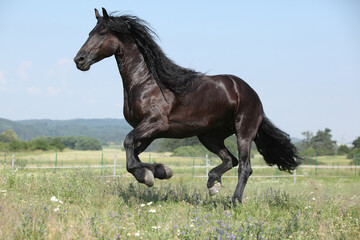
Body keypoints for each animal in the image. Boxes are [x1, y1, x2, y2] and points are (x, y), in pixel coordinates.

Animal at [74, 7, 300, 206]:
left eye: (102, 33)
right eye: (90, 33)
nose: (79, 60)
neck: (146, 82)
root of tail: (251, 93)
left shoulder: (155, 124)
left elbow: (129, 144)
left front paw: (149, 174)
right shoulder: (147, 131)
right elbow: (134, 153)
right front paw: (157, 171)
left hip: (244, 132)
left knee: (244, 167)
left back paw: (234, 201)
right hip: (209, 136)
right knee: (231, 160)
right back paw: (212, 183)